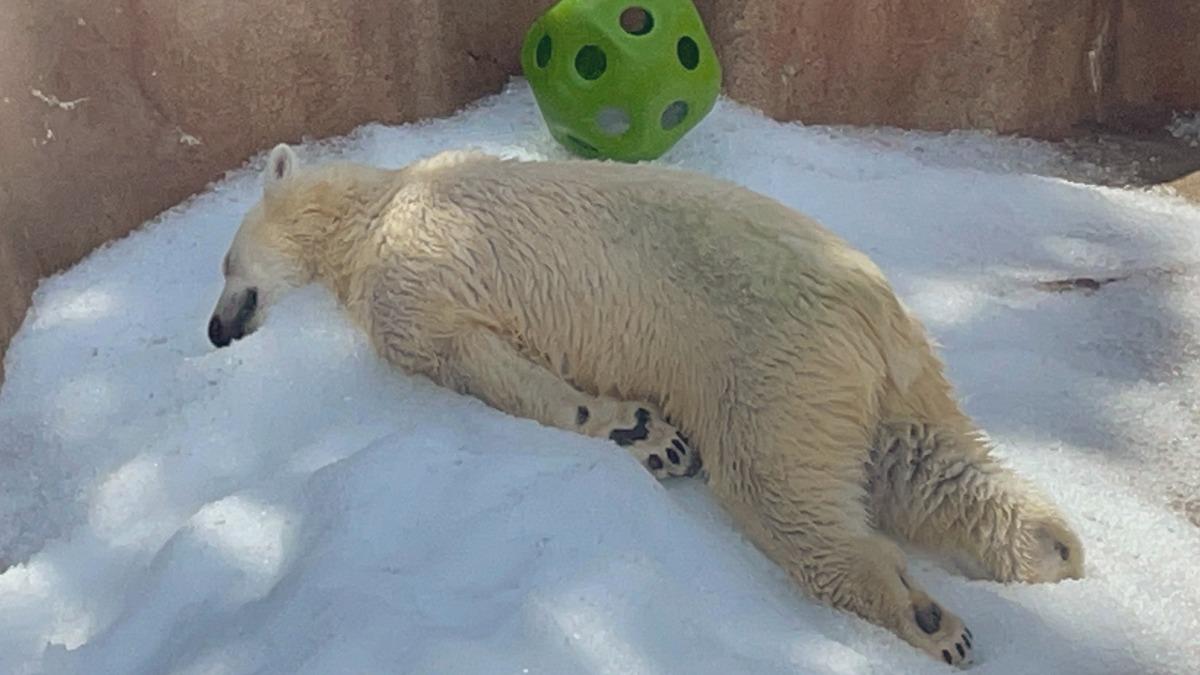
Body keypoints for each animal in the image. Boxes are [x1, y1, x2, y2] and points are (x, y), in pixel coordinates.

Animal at [208, 144, 1089, 662]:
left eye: (222, 263)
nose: (215, 330)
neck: (379, 202)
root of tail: (873, 310)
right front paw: (646, 432)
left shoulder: (412, 267)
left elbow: (471, 359)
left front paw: (640, 430)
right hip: (884, 379)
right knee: (928, 463)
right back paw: (1053, 546)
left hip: (772, 363)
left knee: (780, 491)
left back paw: (927, 619)